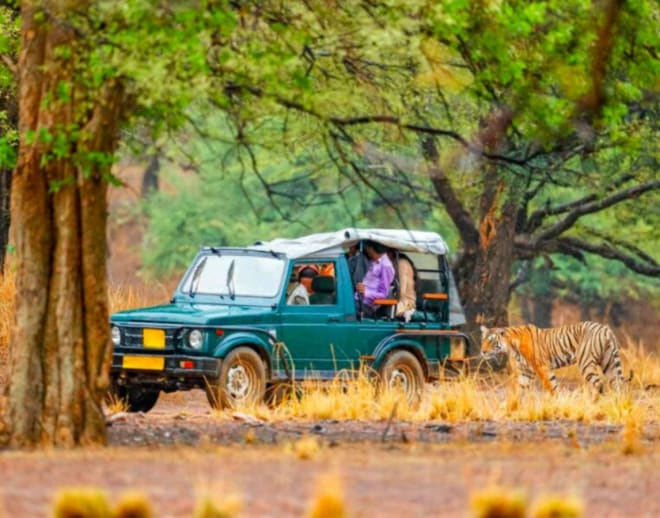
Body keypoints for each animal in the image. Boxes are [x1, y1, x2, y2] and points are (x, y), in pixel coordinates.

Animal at [480, 320, 628, 394]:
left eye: (491, 341)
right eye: (483, 340)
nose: (482, 351)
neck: (511, 346)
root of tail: (605, 329)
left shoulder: (541, 367)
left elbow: (552, 386)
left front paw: (558, 402)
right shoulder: (526, 371)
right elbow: (520, 388)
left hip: (586, 362)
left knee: (599, 383)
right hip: (609, 363)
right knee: (617, 384)